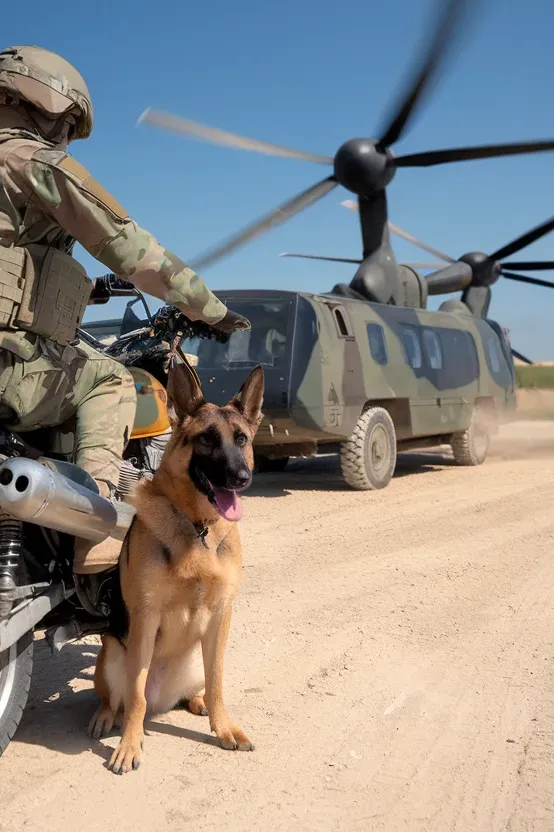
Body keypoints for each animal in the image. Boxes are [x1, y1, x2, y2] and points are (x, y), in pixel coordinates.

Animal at [88, 360, 264, 776]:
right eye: (206, 440)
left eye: (241, 440)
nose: (242, 478)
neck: (197, 526)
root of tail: (161, 702)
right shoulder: (146, 617)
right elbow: (134, 696)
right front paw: (128, 746)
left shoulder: (220, 617)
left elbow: (218, 684)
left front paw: (223, 726)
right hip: (113, 654)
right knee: (121, 698)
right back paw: (108, 717)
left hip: (198, 656)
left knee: (200, 688)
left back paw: (197, 703)